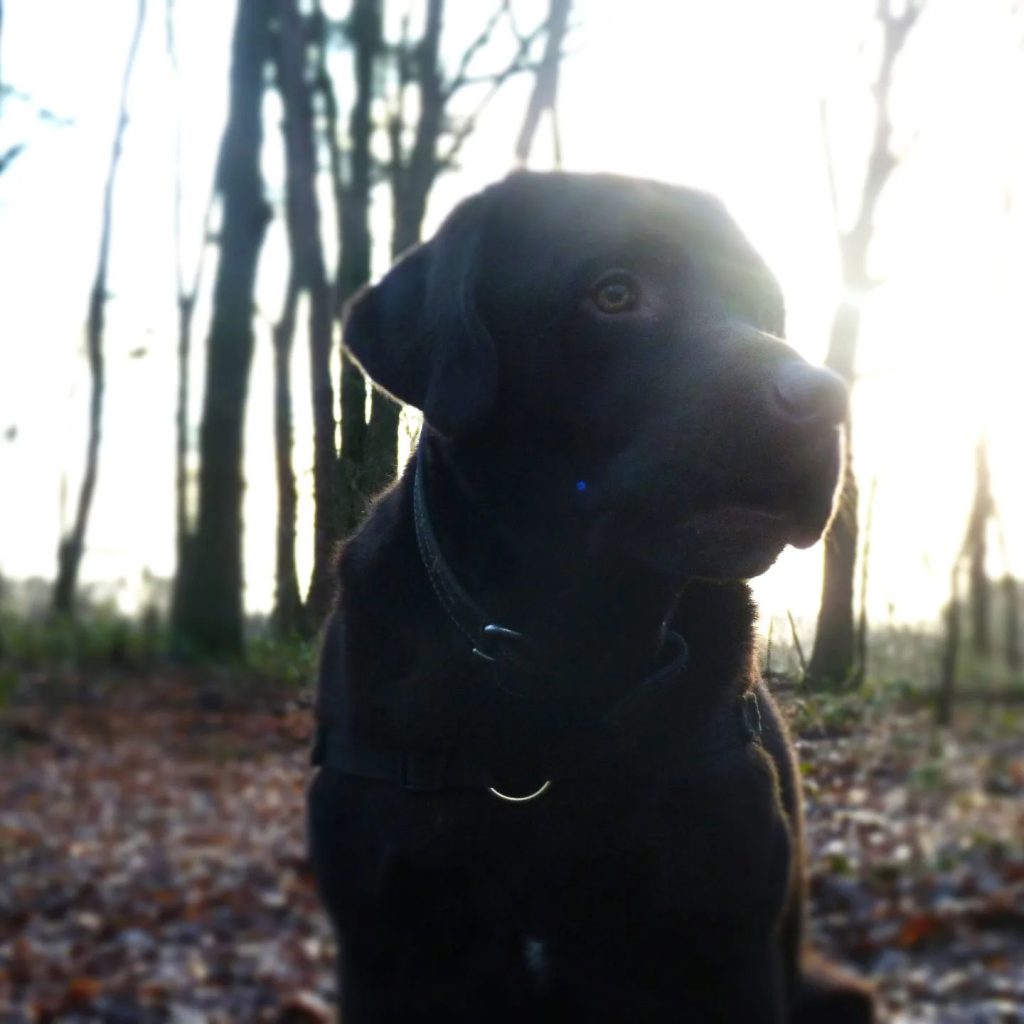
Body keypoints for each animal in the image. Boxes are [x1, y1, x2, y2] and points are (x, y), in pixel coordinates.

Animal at [307, 172, 876, 1019]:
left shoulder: (727, 940)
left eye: (765, 307)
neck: (573, 655)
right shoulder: (382, 948)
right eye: (613, 293)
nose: (825, 396)